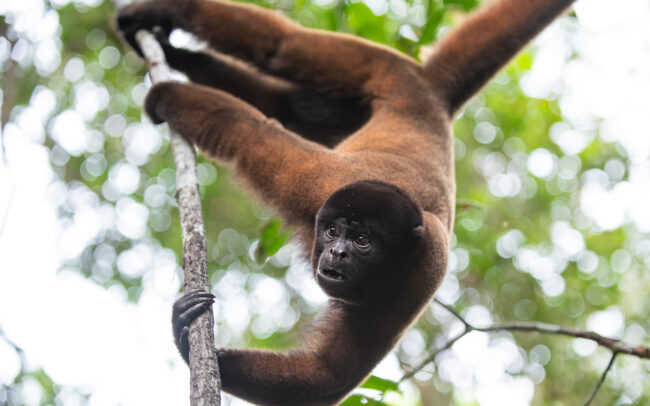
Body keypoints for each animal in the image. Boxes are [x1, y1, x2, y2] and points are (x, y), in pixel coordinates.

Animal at [117, 0, 576, 404]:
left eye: (362, 242)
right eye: (334, 231)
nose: (336, 251)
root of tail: (431, 98)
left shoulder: (421, 274)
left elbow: (326, 375)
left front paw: (184, 337)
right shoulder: (318, 183)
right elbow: (249, 130)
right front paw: (167, 97)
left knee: (296, 102)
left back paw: (178, 55)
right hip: (389, 71)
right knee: (283, 45)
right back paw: (163, 19)